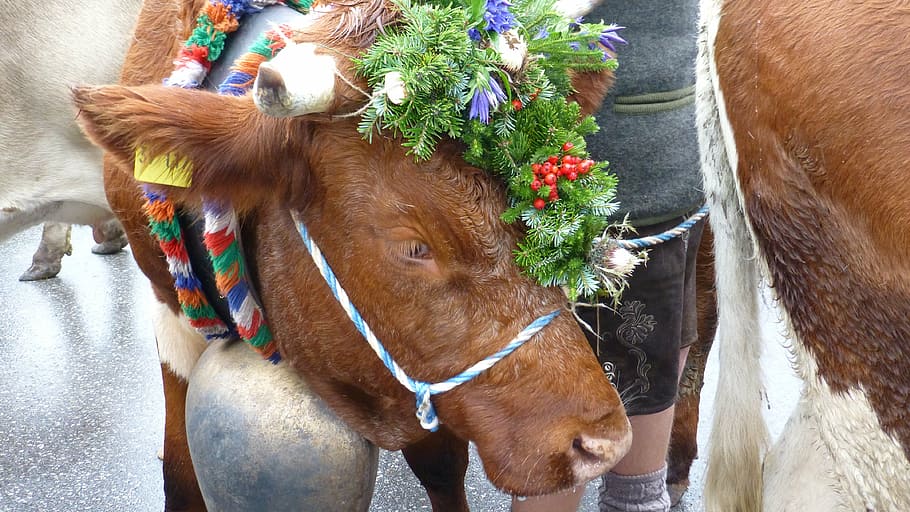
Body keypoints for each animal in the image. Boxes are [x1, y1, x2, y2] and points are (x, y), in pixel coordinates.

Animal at [71, 0, 634, 509]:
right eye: (414, 246)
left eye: (530, 206)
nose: (604, 443)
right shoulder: (168, 307)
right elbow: (180, 473)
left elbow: (441, 464)